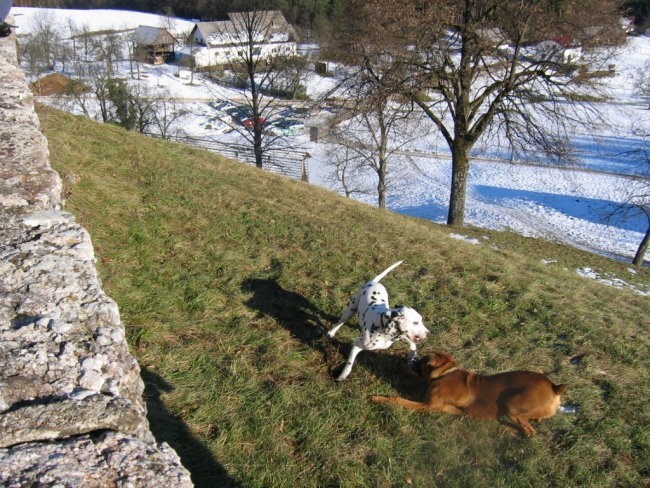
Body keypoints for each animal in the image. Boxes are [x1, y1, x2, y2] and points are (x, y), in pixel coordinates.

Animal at [370, 350, 568, 434]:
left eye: (422, 360)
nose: (413, 359)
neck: (445, 373)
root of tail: (554, 387)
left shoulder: (427, 405)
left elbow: (399, 399)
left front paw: (377, 398)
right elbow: (414, 376)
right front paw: (402, 367)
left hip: (512, 405)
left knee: (530, 432)